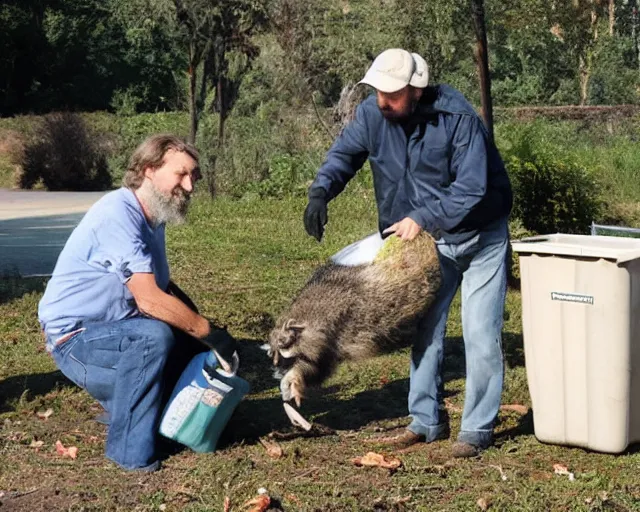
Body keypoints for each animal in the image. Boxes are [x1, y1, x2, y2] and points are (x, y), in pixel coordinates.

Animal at [268, 231, 442, 404]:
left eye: (286, 352)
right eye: (275, 357)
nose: (278, 374)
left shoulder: (338, 333)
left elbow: (317, 368)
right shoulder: (329, 345)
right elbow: (315, 369)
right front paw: (292, 383)